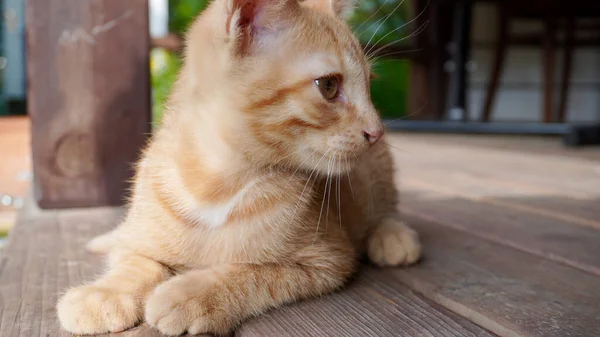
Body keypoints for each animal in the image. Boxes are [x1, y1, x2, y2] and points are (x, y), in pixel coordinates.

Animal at [56, 0, 422, 334]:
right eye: (329, 86)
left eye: (370, 83)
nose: (377, 131)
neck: (215, 185)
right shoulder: (138, 241)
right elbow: (135, 262)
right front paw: (104, 293)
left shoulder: (327, 258)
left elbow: (252, 273)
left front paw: (189, 296)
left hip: (374, 173)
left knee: (385, 208)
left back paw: (393, 238)